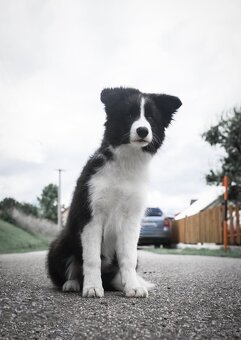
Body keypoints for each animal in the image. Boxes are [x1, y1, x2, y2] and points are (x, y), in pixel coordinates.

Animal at [47, 87, 181, 298]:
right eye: (129, 115)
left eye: (151, 117)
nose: (143, 130)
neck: (126, 164)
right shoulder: (92, 216)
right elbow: (92, 259)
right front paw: (93, 287)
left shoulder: (131, 220)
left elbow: (128, 258)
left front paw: (133, 286)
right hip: (60, 246)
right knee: (72, 269)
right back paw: (73, 283)